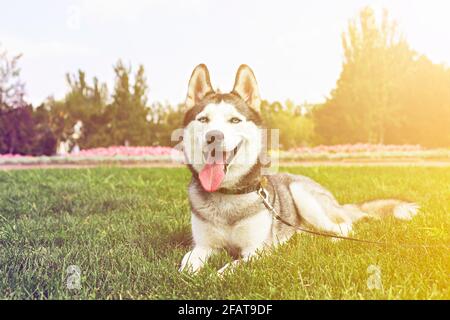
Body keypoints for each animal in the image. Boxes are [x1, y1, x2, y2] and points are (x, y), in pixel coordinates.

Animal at [178, 63, 418, 274]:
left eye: (234, 120)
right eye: (203, 119)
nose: (213, 136)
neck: (227, 195)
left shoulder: (257, 250)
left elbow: (231, 267)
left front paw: (216, 274)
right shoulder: (204, 245)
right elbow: (187, 265)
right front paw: (190, 274)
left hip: (303, 195)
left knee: (344, 226)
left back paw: (332, 239)